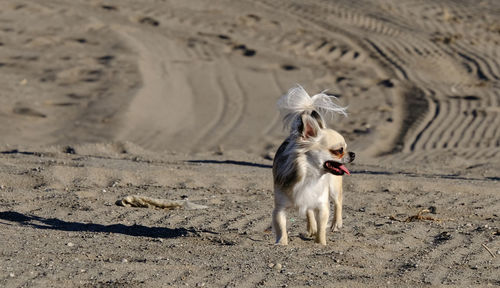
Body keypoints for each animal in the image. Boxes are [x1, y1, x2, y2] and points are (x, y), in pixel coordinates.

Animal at [272, 84, 354, 244]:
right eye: (339, 150)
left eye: (346, 148)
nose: (353, 154)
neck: (310, 175)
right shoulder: (279, 208)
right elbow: (281, 228)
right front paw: (281, 243)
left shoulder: (322, 206)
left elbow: (322, 229)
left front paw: (321, 243)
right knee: (309, 211)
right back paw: (311, 227)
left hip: (334, 187)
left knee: (338, 202)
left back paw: (336, 223)